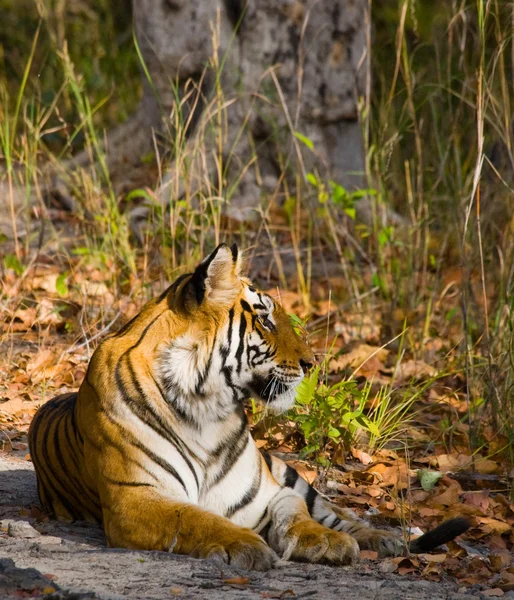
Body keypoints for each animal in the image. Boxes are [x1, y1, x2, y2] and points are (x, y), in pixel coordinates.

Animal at [29, 243, 468, 568]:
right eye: (266, 320)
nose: (312, 363)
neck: (204, 407)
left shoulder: (270, 492)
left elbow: (298, 513)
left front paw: (327, 541)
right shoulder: (134, 498)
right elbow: (194, 516)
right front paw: (246, 544)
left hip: (288, 470)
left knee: (339, 511)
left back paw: (382, 538)